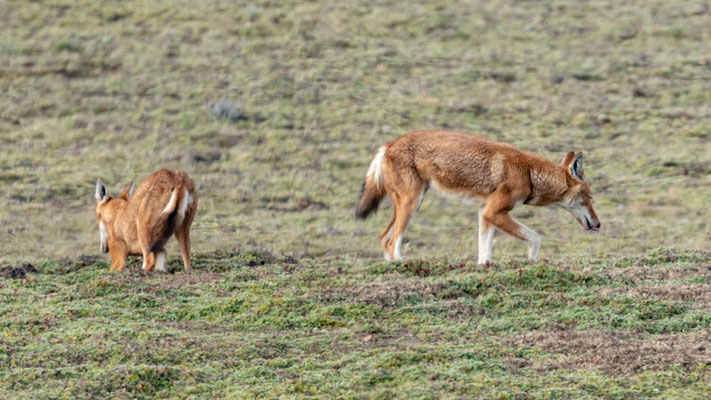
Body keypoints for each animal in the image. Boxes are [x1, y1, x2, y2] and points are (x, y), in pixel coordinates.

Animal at [356, 130, 600, 264]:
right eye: (589, 197)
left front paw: (484, 267)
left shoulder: (485, 213)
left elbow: (484, 253)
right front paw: (531, 260)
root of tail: (387, 145)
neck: (529, 173)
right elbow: (535, 237)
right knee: (391, 241)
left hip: (411, 205)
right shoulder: (494, 212)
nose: (598, 224)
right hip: (411, 205)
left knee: (383, 236)